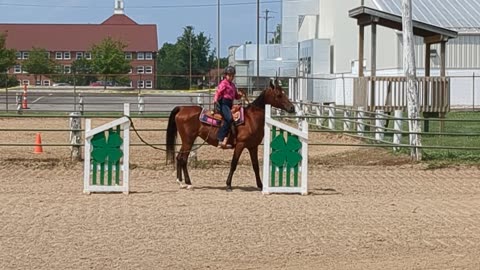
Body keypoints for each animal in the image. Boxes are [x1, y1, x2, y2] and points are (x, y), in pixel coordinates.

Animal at [165, 79, 294, 191]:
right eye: (279, 95)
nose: (292, 108)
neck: (251, 119)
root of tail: (182, 108)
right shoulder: (240, 145)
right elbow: (233, 164)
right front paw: (228, 185)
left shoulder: (253, 147)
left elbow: (255, 166)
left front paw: (260, 185)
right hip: (188, 140)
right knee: (183, 159)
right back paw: (188, 183)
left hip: (186, 141)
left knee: (179, 158)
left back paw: (181, 182)